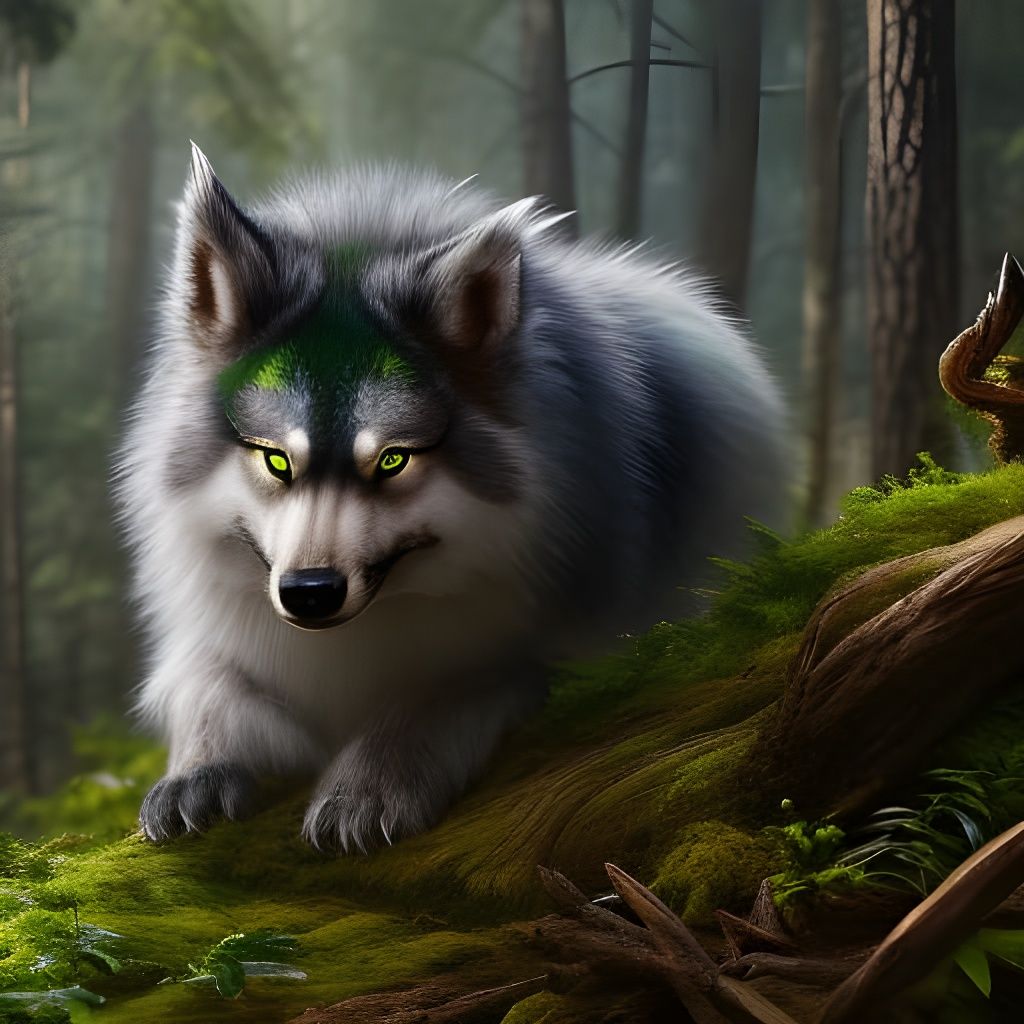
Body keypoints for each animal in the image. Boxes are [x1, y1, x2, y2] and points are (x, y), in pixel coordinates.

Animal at [117, 144, 787, 853]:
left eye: (393, 460)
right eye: (276, 458)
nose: (309, 594)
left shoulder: (546, 649)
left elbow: (444, 688)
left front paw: (368, 787)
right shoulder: (216, 641)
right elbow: (207, 688)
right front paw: (199, 773)